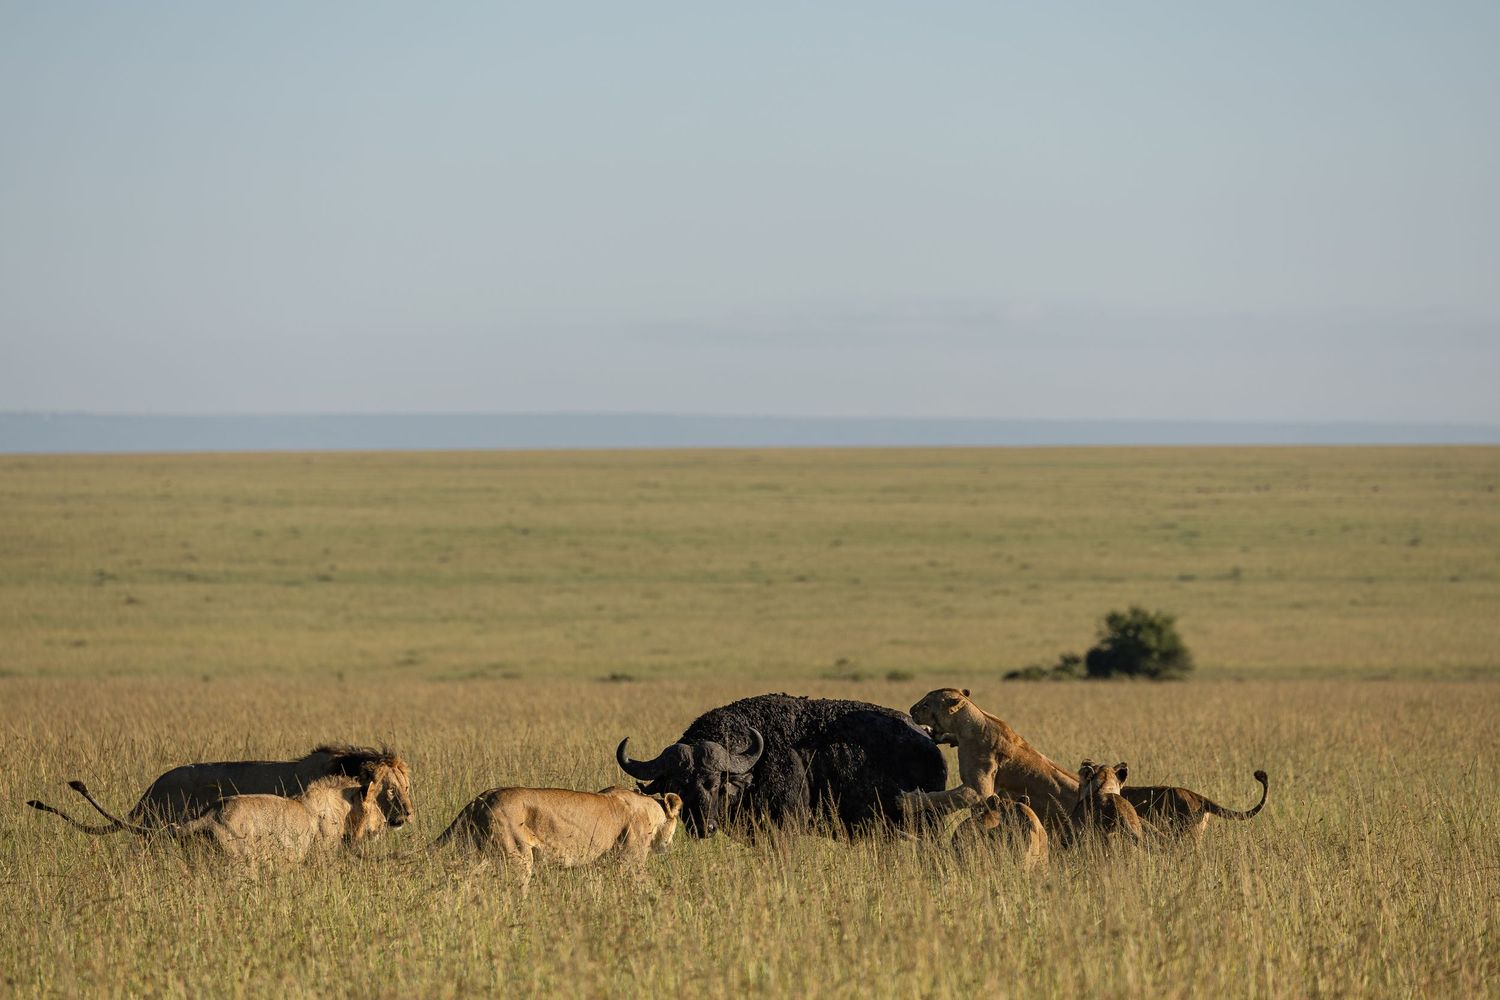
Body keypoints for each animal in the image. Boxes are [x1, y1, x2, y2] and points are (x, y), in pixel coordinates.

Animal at [431, 785, 683, 892]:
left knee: (459, 879)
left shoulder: (599, 866)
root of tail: (481, 798)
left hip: (478, 856)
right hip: (517, 857)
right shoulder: (630, 862)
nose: (668, 845)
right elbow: (646, 884)